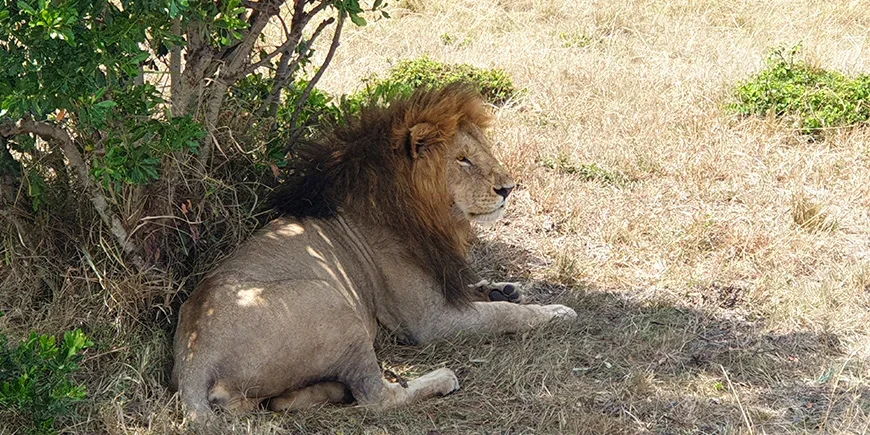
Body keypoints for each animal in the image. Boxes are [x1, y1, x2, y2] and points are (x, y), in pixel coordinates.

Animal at [172, 84, 577, 420]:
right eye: (463, 159)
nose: (509, 188)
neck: (428, 213)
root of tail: (194, 359)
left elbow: (484, 291)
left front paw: (504, 288)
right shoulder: (428, 321)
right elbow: (505, 315)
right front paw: (555, 312)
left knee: (278, 402)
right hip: (333, 301)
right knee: (374, 396)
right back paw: (439, 379)